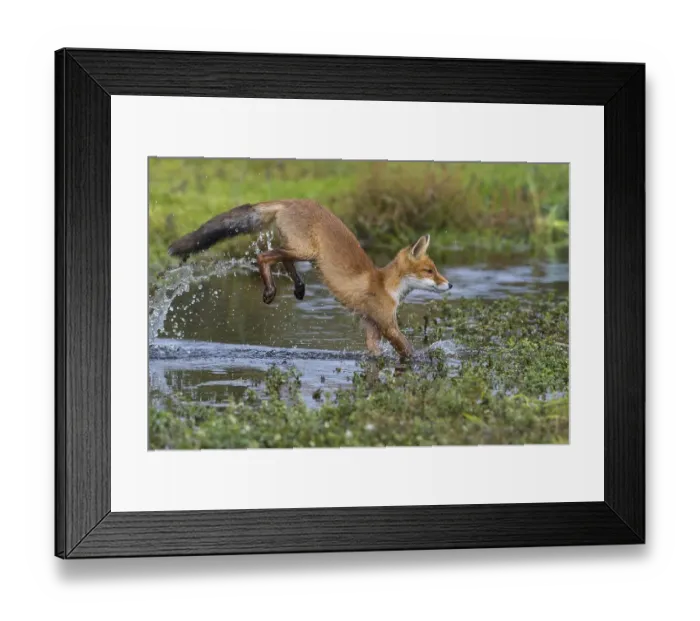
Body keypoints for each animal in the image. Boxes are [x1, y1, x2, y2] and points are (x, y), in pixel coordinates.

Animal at [168, 199, 452, 358]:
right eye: (429, 271)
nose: (449, 284)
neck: (385, 285)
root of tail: (291, 200)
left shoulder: (371, 329)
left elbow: (376, 354)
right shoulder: (387, 325)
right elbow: (409, 351)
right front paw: (425, 362)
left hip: (299, 249)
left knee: (282, 259)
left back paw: (298, 287)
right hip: (307, 251)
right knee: (264, 256)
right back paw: (270, 289)